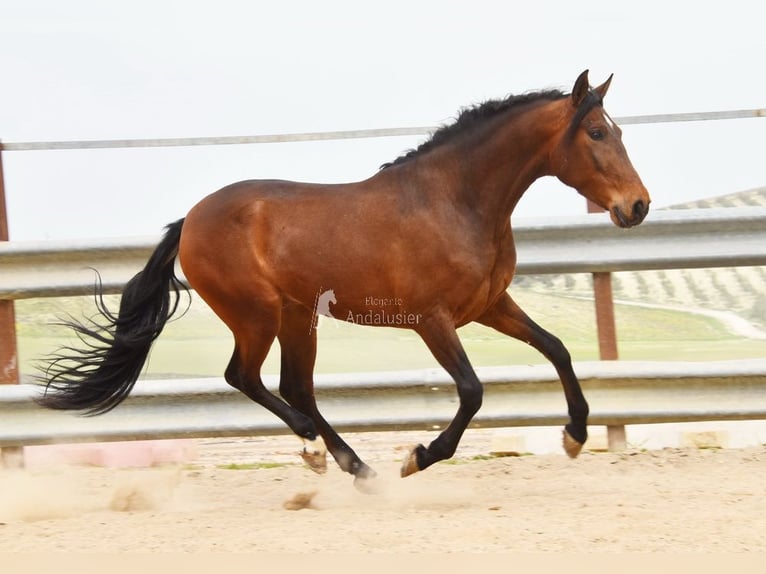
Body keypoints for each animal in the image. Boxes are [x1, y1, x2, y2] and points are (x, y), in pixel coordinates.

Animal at [39, 70, 650, 488]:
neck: (455, 201)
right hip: (257, 314)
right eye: (597, 132)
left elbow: (557, 349)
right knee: (246, 377)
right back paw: (322, 454)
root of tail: (190, 220)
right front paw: (417, 457)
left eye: (615, 130)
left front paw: (575, 436)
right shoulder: (432, 321)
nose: (638, 206)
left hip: (296, 316)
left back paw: (354, 466)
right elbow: (473, 391)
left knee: (295, 387)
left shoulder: (489, 306)